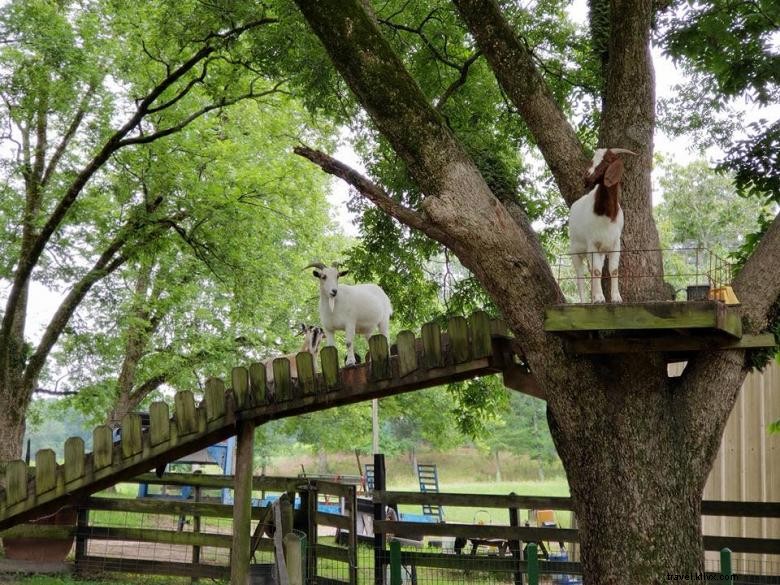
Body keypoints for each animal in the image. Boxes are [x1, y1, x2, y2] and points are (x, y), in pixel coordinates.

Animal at [568, 146, 636, 304]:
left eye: (607, 160)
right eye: (592, 159)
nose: (587, 177)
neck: (606, 213)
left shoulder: (615, 244)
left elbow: (613, 270)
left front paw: (616, 297)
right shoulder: (592, 244)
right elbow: (597, 271)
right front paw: (599, 298)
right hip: (576, 250)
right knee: (580, 276)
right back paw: (585, 301)